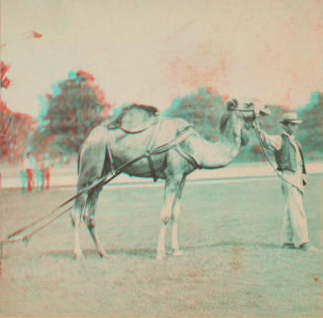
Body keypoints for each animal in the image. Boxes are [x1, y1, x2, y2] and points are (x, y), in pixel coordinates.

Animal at [70, 98, 268, 260]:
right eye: (249, 103)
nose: (266, 108)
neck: (197, 147)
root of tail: (86, 141)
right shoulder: (173, 174)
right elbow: (165, 214)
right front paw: (160, 253)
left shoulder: (182, 177)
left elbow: (175, 214)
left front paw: (176, 250)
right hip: (88, 170)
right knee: (75, 212)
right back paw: (79, 254)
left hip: (100, 176)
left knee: (89, 215)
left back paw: (103, 253)